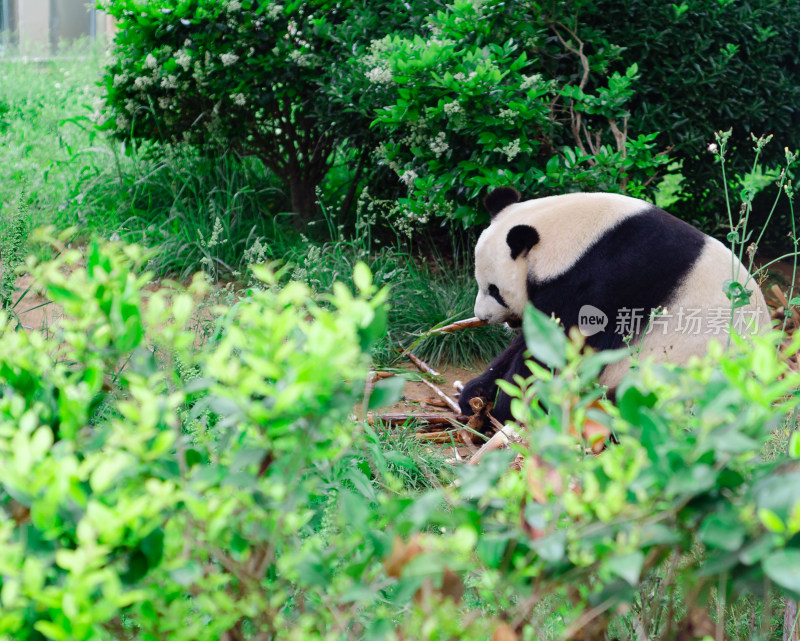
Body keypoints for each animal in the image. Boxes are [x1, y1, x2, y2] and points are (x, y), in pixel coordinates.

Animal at [460, 188, 772, 422]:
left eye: (494, 290)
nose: (482, 316)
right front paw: (476, 394)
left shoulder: (605, 281)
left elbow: (560, 347)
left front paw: (509, 408)